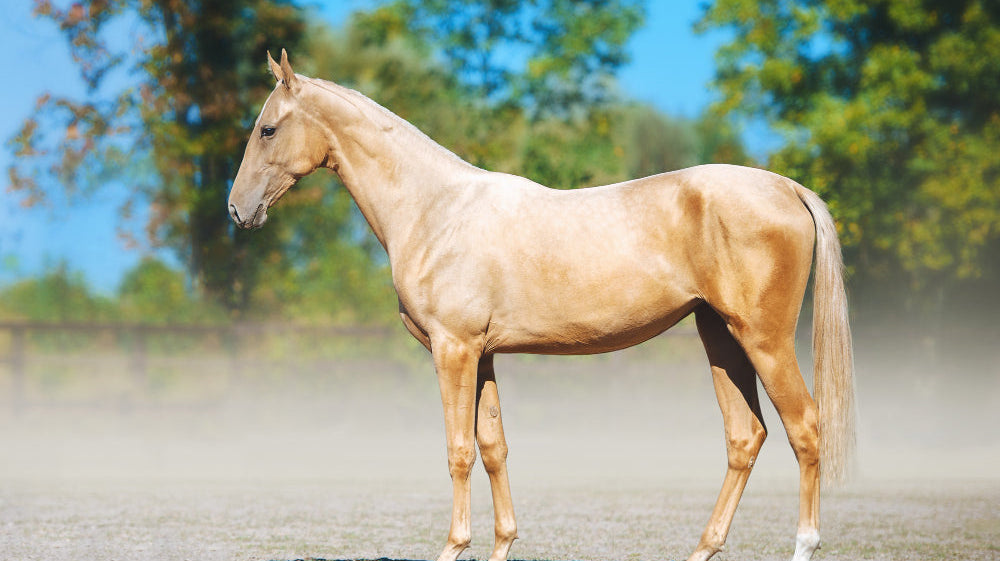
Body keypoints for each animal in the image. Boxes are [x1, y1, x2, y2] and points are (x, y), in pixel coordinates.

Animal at [228, 50, 855, 561]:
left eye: (267, 129)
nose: (238, 209)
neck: (436, 208)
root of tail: (787, 188)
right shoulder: (481, 355)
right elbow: (493, 447)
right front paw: (502, 543)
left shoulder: (453, 350)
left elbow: (459, 450)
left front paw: (454, 546)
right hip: (720, 336)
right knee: (744, 437)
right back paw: (705, 546)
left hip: (764, 340)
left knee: (805, 428)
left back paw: (804, 543)